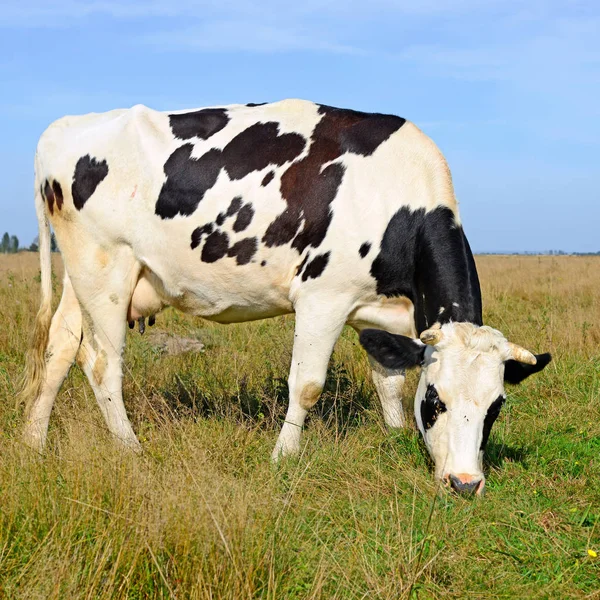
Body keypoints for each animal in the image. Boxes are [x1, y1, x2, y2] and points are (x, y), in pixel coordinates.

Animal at [23, 98, 552, 492]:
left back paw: (33, 442)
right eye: (437, 401)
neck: (398, 202)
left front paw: (396, 433)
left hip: (82, 276)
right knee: (101, 364)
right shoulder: (324, 298)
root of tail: (65, 127)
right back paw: (131, 450)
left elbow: (388, 381)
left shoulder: (380, 312)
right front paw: (283, 456)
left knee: (60, 348)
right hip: (106, 269)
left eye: (496, 406)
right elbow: (307, 385)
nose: (465, 483)